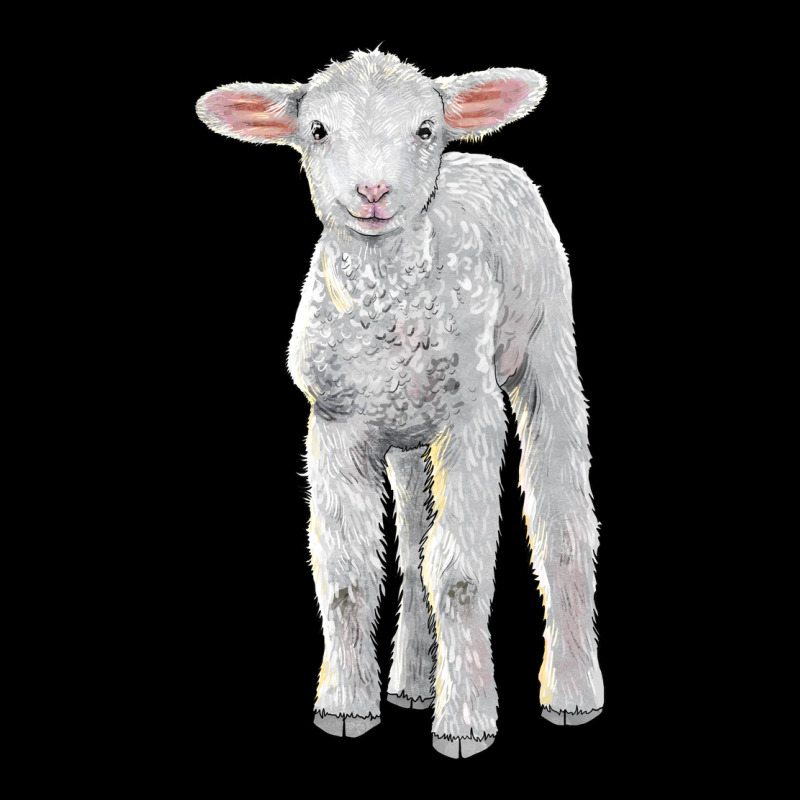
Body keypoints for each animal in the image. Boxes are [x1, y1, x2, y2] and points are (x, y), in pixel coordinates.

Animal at [196, 49, 603, 758]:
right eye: (318, 130)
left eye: (423, 129)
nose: (373, 192)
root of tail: (480, 158)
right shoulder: (334, 425)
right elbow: (347, 574)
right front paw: (345, 706)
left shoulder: (472, 420)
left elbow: (461, 574)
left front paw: (466, 721)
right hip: (407, 433)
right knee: (414, 543)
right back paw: (412, 683)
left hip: (546, 344)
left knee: (561, 518)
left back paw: (573, 692)